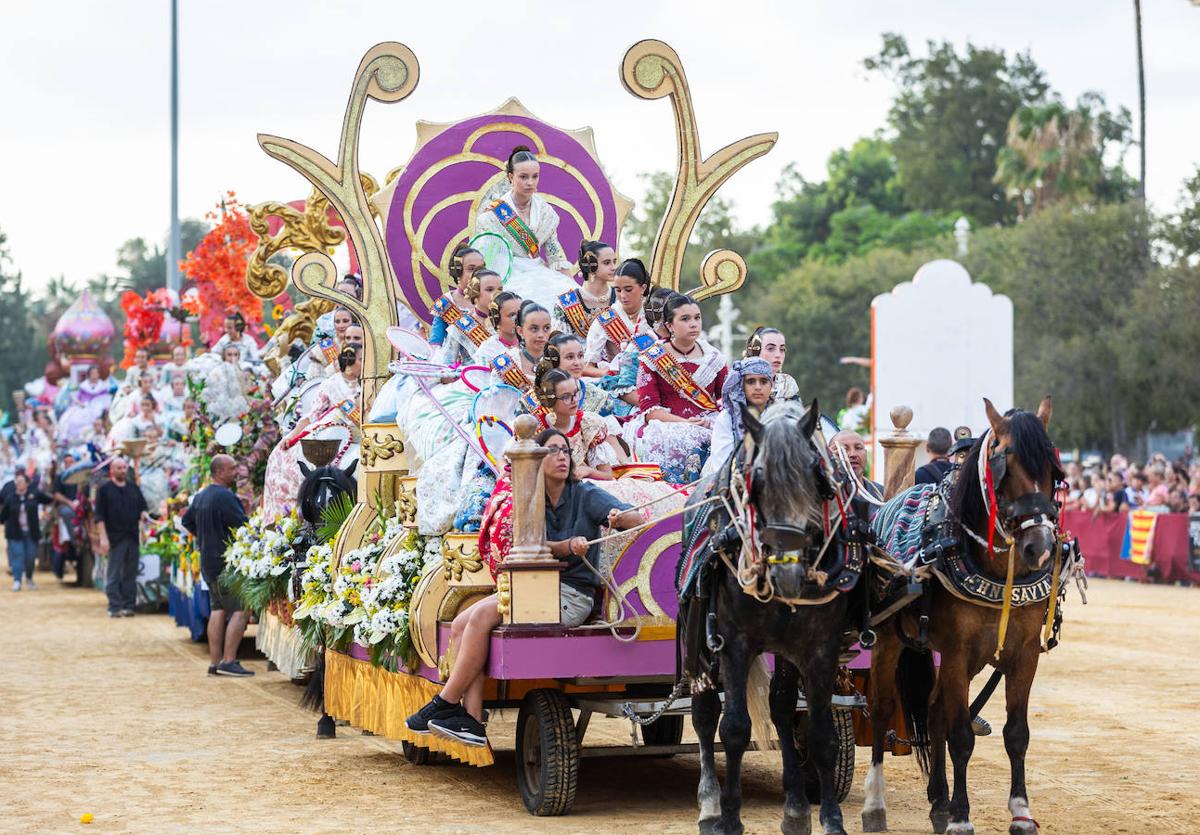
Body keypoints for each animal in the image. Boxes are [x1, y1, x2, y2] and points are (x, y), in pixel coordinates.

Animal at [859, 400, 1065, 835]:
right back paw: (875, 803)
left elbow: (1016, 733)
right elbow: (960, 737)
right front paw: (961, 816)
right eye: (1005, 465)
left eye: (1052, 471)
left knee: (935, 710)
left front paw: (1020, 811)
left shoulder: (1023, 653)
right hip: (889, 639)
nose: (1039, 546)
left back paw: (938, 800)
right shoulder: (956, 652)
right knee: (883, 707)